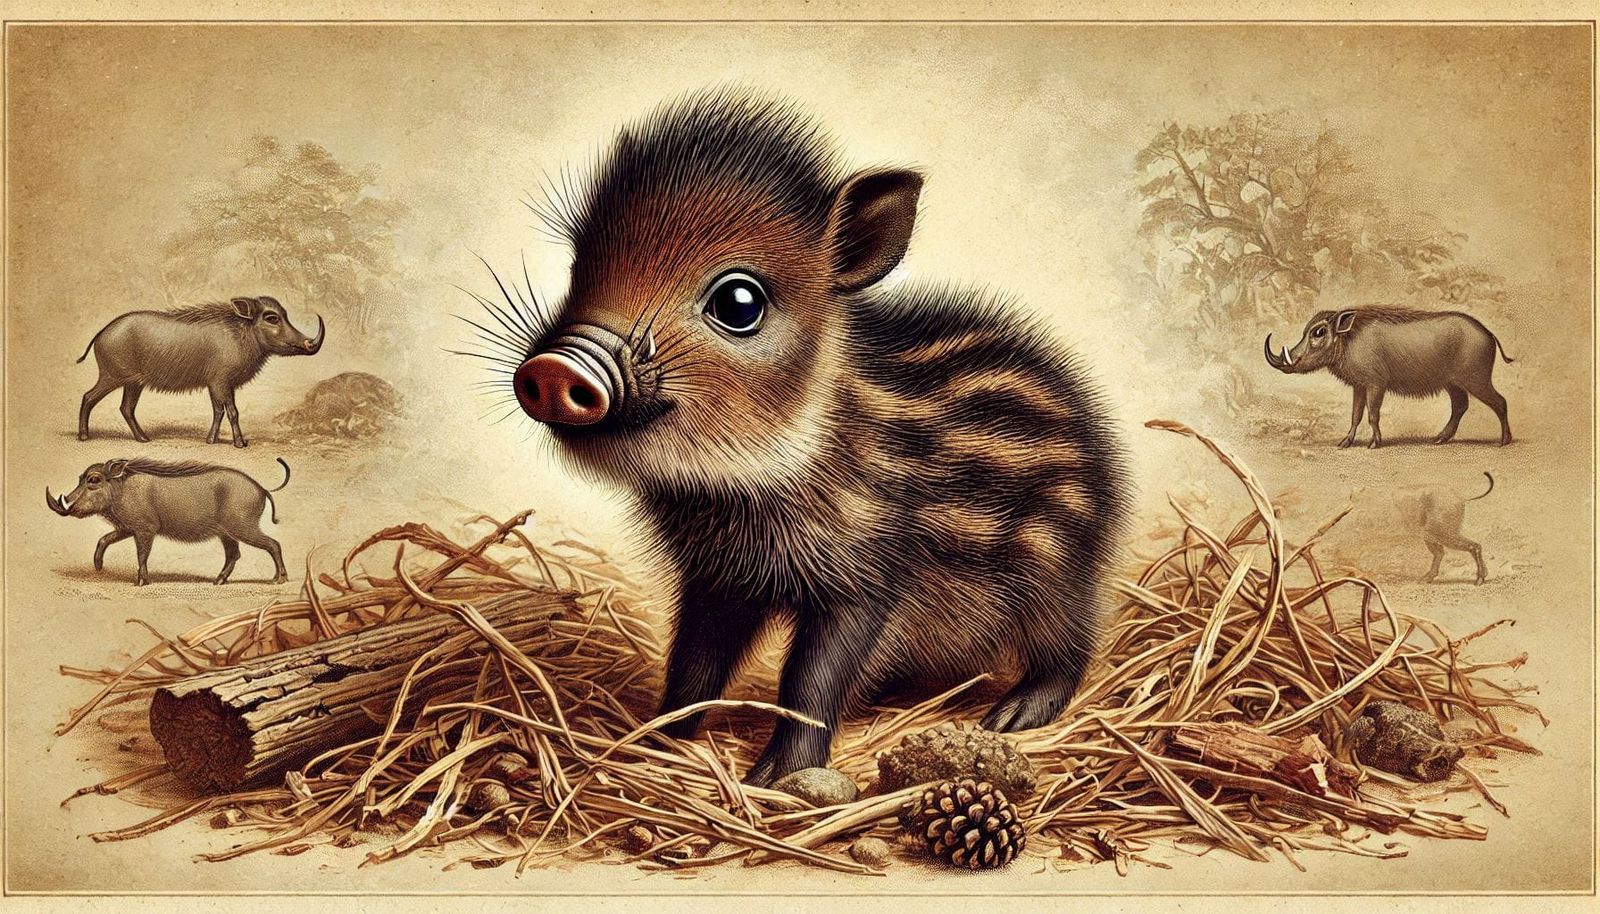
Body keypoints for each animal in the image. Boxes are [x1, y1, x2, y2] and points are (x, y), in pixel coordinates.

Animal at [47, 457, 290, 586]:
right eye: (81, 478)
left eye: (94, 479)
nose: (65, 506)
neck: (120, 489)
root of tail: (262, 489)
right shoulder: (127, 528)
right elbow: (103, 540)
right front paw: (98, 568)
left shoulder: (145, 529)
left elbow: (142, 554)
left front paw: (140, 582)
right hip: (227, 533)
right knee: (234, 554)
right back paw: (218, 581)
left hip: (242, 527)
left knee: (273, 544)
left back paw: (279, 580)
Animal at [76, 296, 325, 446]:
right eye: (272, 317)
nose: (309, 343)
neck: (243, 335)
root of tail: (101, 334)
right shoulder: (221, 382)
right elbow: (232, 412)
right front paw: (240, 444)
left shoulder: (219, 385)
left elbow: (218, 411)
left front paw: (211, 441)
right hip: (112, 377)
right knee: (89, 397)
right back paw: (84, 436)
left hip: (133, 383)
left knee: (126, 408)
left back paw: (144, 439)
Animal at [489, 90, 1130, 785]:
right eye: (579, 265)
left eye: (739, 303)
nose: (556, 370)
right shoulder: (717, 575)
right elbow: (694, 661)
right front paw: (654, 744)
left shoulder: (866, 571)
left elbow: (812, 678)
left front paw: (779, 779)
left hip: (1051, 566)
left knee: (1071, 640)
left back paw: (1012, 716)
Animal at [1264, 307, 1513, 448]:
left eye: (1319, 332)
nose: (1283, 364)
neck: (1348, 341)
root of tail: (1489, 334)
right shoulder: (1359, 385)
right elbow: (1355, 415)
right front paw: (1344, 443)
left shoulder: (1376, 384)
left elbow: (1373, 414)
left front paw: (1374, 444)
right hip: (1453, 384)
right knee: (1460, 406)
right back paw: (1438, 439)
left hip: (1476, 380)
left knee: (1500, 402)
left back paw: (1503, 442)